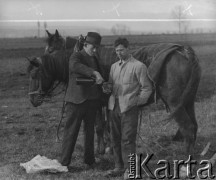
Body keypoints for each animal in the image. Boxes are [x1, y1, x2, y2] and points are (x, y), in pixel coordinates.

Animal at [27, 31, 201, 155]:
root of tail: (183, 51)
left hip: (175, 103)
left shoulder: (97, 104)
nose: (33, 100)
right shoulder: (106, 104)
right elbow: (107, 125)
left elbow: (99, 126)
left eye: (35, 75)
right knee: (193, 126)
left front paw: (102, 149)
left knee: (188, 128)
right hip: (187, 101)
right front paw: (109, 146)